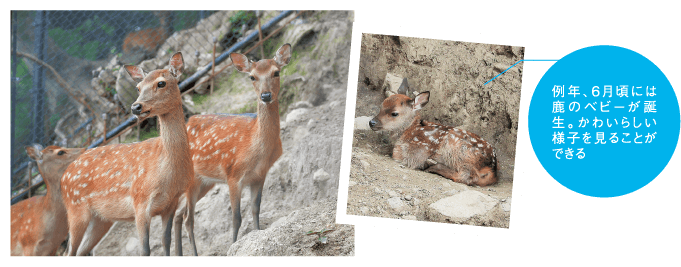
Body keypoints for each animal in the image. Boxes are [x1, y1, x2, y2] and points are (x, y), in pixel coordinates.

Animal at [60, 52, 199, 258]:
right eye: (138, 87)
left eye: (161, 83)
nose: (136, 107)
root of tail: (62, 178)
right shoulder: (140, 201)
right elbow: (145, 250)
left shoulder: (170, 204)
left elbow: (166, 242)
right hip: (76, 209)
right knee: (68, 252)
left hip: (101, 219)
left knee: (81, 252)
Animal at [171, 43, 290, 254]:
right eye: (252, 76)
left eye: (276, 72)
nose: (266, 95)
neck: (257, 148)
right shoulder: (233, 174)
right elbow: (236, 218)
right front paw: (233, 246)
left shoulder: (259, 176)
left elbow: (256, 209)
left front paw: (257, 234)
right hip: (193, 180)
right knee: (187, 219)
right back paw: (194, 254)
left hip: (205, 181)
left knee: (178, 215)